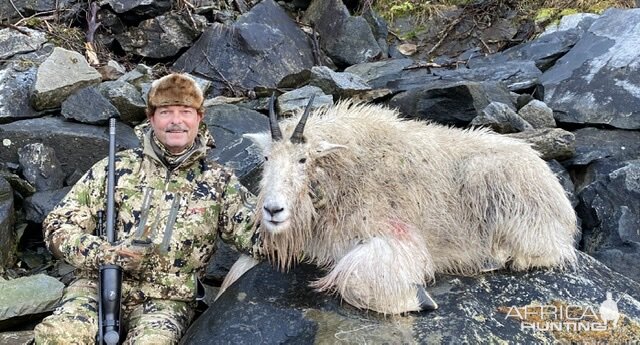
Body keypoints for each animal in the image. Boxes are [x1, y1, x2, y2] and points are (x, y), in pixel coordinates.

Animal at [221, 95, 580, 314]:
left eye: (303, 159)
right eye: (267, 158)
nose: (273, 211)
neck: (342, 171)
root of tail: (559, 200)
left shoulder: (394, 234)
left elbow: (356, 282)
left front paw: (420, 299)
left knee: (544, 250)